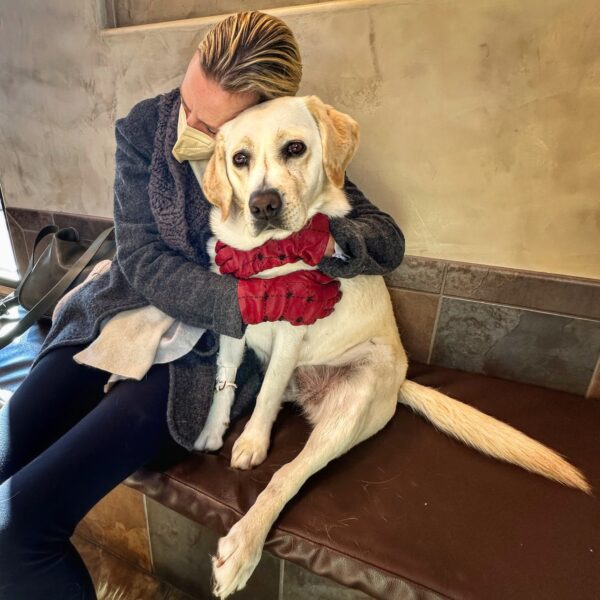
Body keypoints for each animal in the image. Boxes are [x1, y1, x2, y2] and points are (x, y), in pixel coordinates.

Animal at [195, 96, 588, 596]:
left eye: (295, 148)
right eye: (240, 159)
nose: (262, 204)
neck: (268, 258)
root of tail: (401, 382)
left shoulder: (291, 333)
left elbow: (264, 400)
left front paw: (251, 442)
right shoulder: (233, 315)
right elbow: (223, 382)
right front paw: (214, 430)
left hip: (355, 399)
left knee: (289, 472)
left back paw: (242, 548)